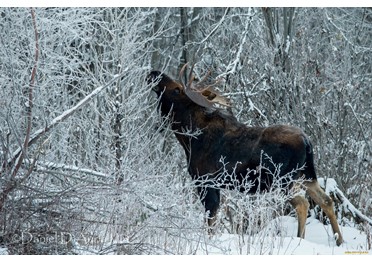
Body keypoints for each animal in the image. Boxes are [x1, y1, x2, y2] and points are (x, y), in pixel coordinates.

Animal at [147, 63, 344, 246]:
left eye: (177, 89)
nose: (154, 73)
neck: (189, 138)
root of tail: (307, 141)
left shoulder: (205, 180)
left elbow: (211, 220)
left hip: (283, 180)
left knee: (303, 203)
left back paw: (300, 239)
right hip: (307, 175)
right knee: (326, 200)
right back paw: (340, 241)